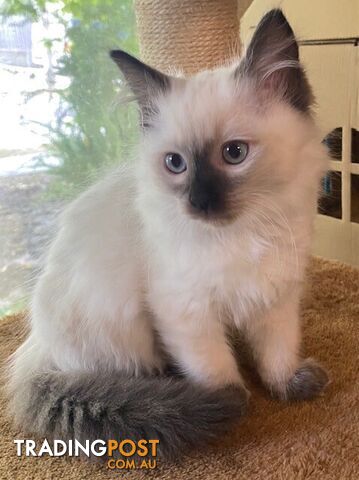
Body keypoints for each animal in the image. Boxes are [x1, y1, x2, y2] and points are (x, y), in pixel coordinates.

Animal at [7, 9, 330, 460]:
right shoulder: (185, 312)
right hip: (119, 324)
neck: (245, 233)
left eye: (234, 154)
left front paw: (288, 387)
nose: (198, 202)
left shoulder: (276, 296)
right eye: (176, 164)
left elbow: (277, 353)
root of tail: (36, 344)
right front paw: (234, 408)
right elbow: (219, 371)